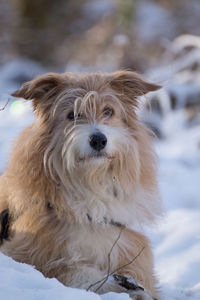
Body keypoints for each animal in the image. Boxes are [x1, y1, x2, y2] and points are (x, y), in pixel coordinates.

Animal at [0, 71, 162, 300]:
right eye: (72, 115)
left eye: (108, 111)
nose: (98, 140)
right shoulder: (25, 251)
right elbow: (76, 272)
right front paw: (117, 284)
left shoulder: (128, 247)